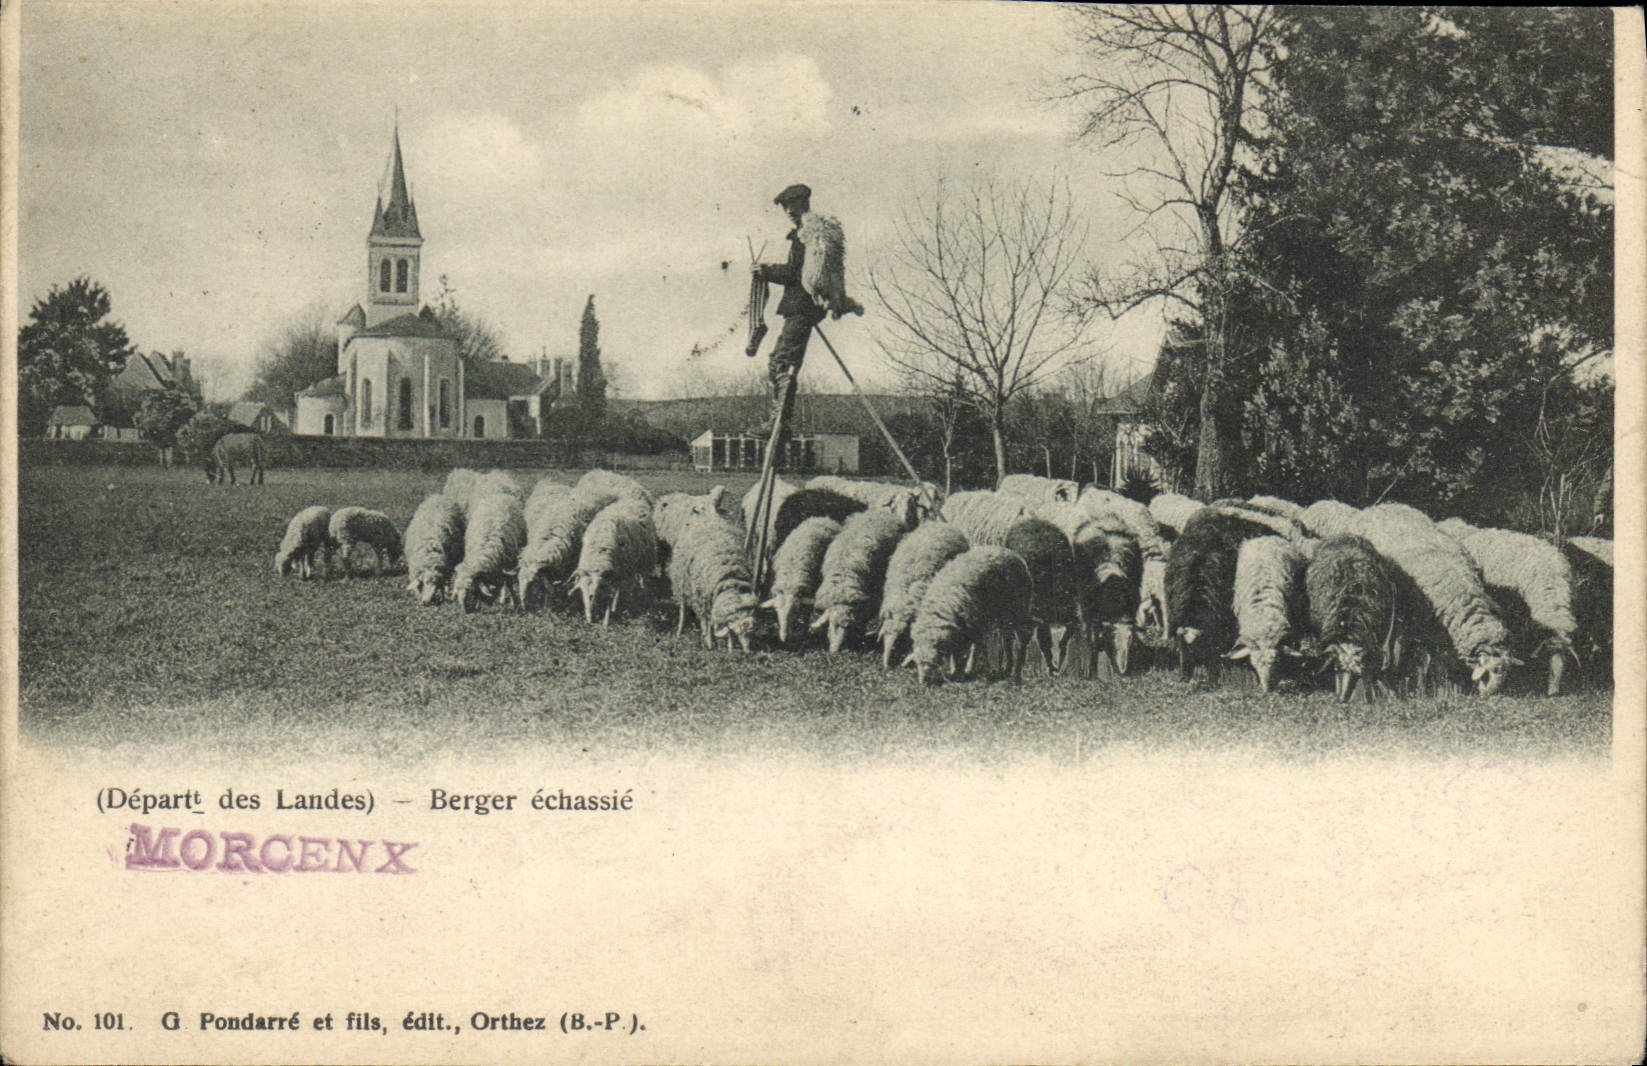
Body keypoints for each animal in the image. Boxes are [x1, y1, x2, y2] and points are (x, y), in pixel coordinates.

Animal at [669, 511, 759, 651]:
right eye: (739, 631)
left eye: (750, 632)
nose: (747, 651)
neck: (729, 579)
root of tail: (704, 517)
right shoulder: (702, 599)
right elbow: (705, 621)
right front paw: (709, 642)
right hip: (681, 582)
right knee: (682, 608)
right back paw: (679, 630)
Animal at [907, 545, 1034, 686]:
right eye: (917, 663)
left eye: (934, 662)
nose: (923, 682)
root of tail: (1010, 552)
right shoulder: (963, 627)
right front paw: (954, 670)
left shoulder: (968, 625)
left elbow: (965, 651)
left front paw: (961, 673)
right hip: (1002, 615)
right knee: (1007, 639)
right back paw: (1007, 669)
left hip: (1017, 608)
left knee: (1021, 637)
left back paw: (1016, 674)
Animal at [1351, 503, 1516, 695]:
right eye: (1492, 670)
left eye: (1505, 672)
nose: (1488, 695)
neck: (1458, 592)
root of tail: (1385, 504)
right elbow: (1424, 658)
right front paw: (1423, 686)